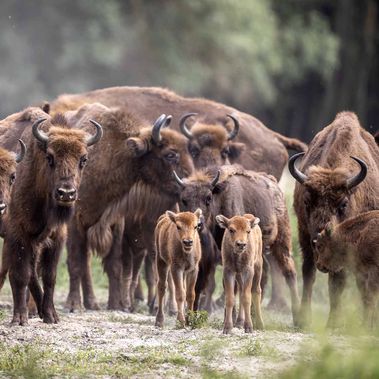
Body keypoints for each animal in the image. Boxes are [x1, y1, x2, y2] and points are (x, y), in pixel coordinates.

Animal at [0, 108, 102, 326]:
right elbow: (20, 275)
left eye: (83, 159)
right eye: (50, 157)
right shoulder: (17, 235)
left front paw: (51, 315)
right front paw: (19, 318)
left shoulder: (56, 237)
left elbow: (49, 276)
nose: (66, 193)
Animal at [290, 111, 379, 328]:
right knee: (309, 272)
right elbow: (311, 274)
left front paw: (334, 322)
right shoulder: (305, 234)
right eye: (307, 201)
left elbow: (338, 282)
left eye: (343, 204)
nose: (318, 236)